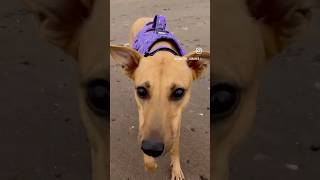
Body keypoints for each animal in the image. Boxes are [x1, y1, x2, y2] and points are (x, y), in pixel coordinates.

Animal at [110, 17, 210, 180]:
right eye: (141, 91)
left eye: (179, 92)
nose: (152, 148)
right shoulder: (143, 116)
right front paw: (150, 164)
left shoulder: (177, 119)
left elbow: (175, 146)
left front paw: (176, 168)